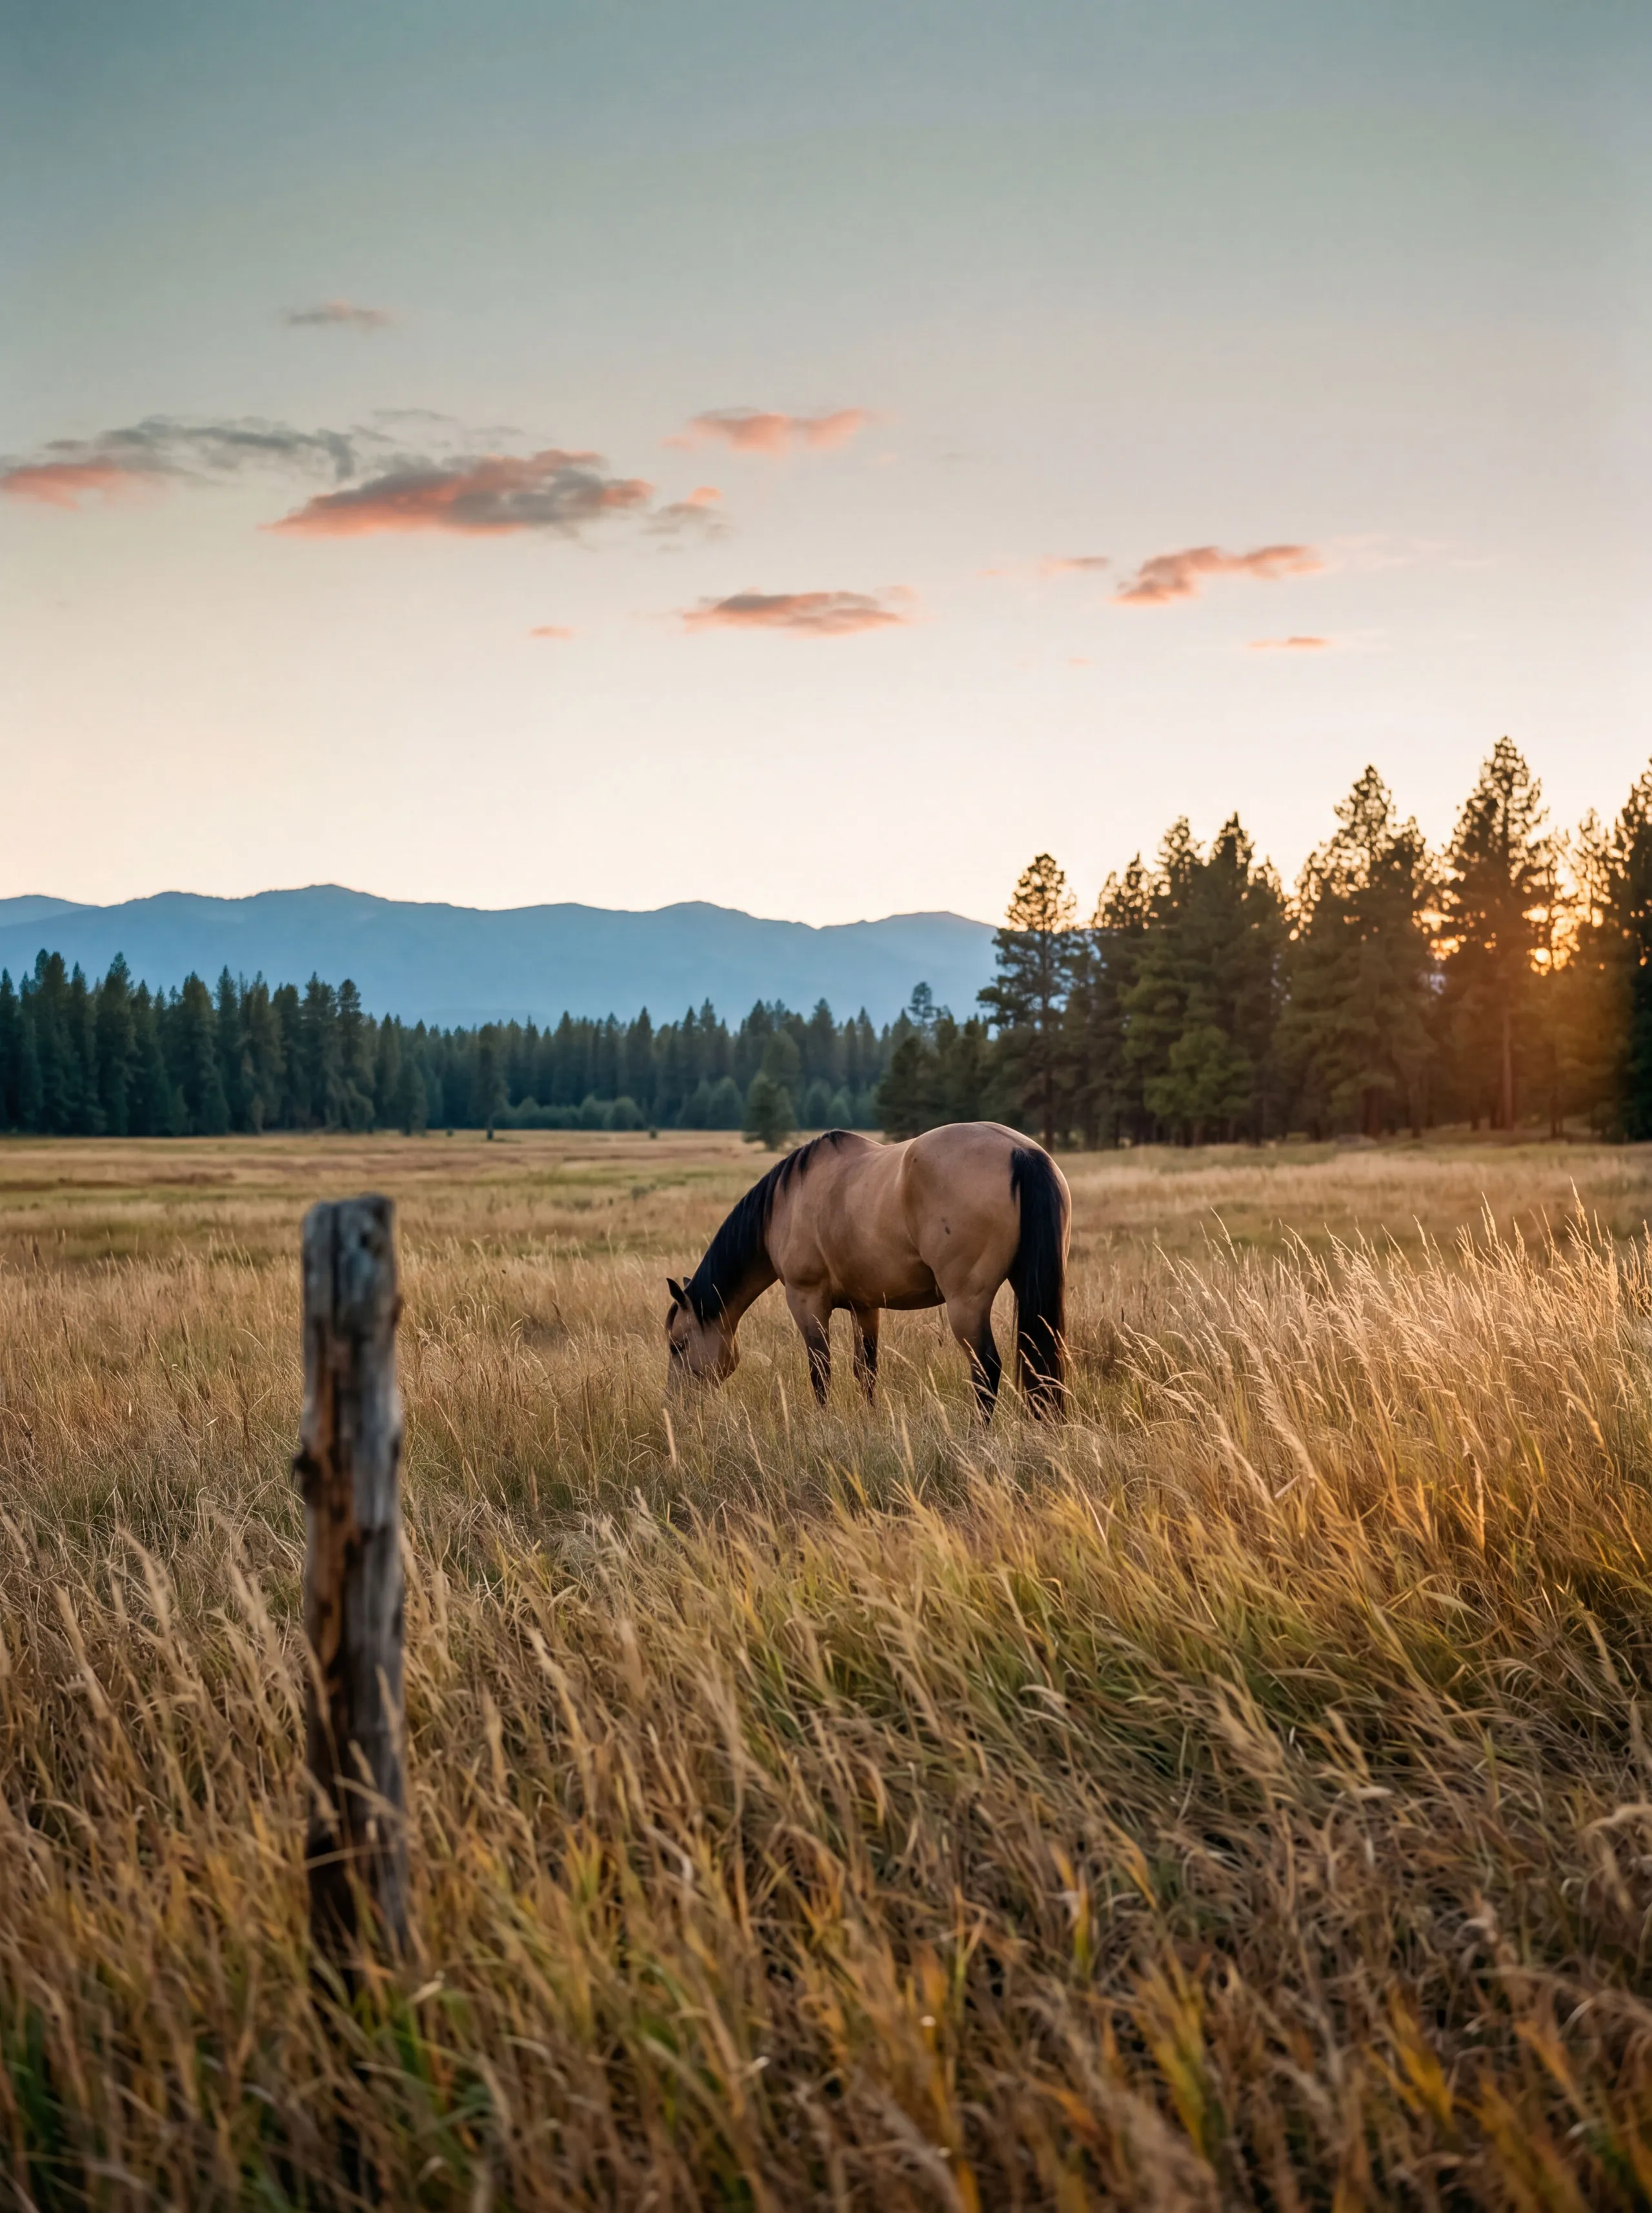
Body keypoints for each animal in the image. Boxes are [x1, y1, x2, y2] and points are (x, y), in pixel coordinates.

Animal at [664, 1121, 1071, 1420]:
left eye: (678, 1345)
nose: (675, 1405)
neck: (786, 1204)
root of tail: (1021, 1152)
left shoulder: (806, 1300)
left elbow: (820, 1371)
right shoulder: (865, 1305)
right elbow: (866, 1370)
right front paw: (870, 1420)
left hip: (967, 1303)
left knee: (986, 1368)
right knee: (1041, 1361)